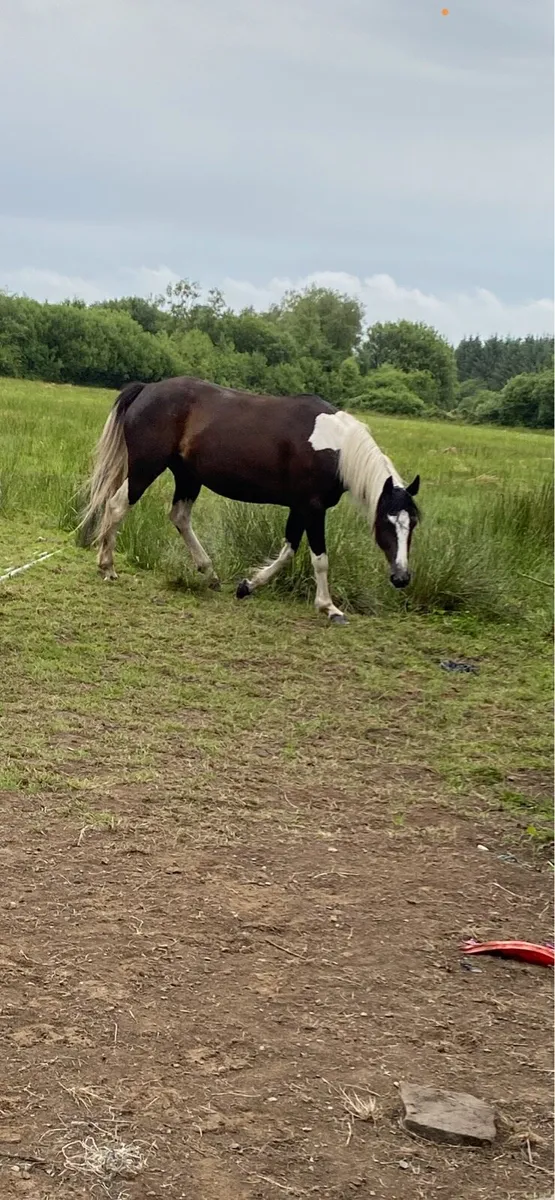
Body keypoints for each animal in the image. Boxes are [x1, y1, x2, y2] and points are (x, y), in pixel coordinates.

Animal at [82, 376, 420, 624]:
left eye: (413, 524)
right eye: (386, 522)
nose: (401, 577)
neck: (335, 446)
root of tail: (147, 389)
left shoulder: (299, 508)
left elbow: (288, 552)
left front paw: (247, 586)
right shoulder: (313, 509)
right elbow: (319, 559)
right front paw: (329, 607)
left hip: (188, 477)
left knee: (179, 517)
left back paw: (210, 574)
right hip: (146, 468)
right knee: (116, 506)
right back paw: (108, 567)